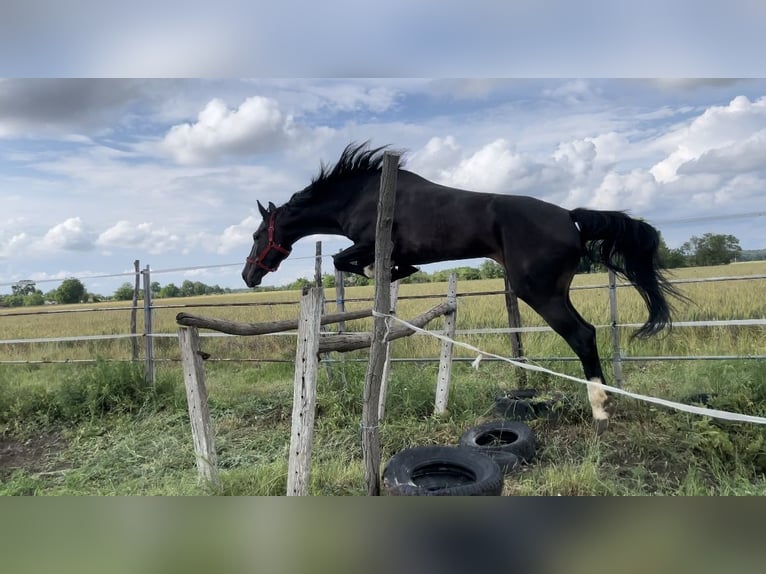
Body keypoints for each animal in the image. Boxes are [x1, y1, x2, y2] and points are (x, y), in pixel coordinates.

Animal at [243, 143, 680, 432]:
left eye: (256, 234)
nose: (248, 277)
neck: (359, 195)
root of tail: (569, 216)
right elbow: (381, 265)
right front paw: (396, 272)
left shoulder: (369, 242)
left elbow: (343, 260)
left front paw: (379, 269)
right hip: (554, 290)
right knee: (585, 333)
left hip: (538, 291)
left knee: (582, 335)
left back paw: (600, 411)